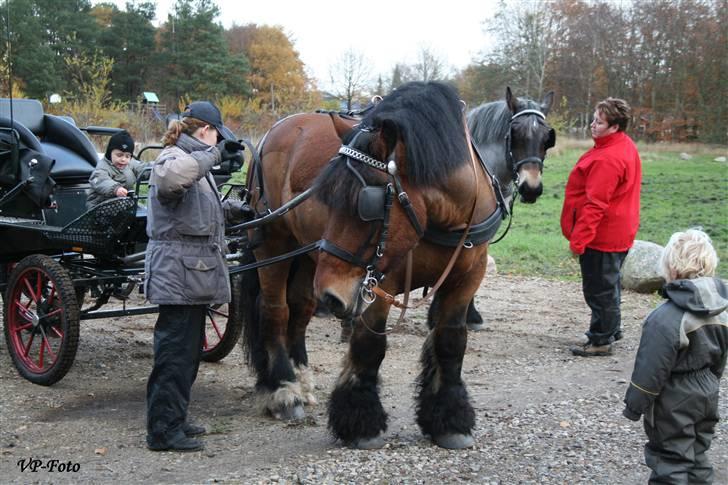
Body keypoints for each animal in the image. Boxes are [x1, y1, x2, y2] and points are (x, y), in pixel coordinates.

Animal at [242, 81, 504, 448]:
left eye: (366, 204)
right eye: (329, 195)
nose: (333, 297)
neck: (443, 217)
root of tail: (276, 129)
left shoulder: (467, 276)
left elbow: (450, 340)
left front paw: (450, 419)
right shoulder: (377, 282)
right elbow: (370, 344)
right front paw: (361, 421)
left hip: (308, 257)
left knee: (300, 307)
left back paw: (301, 378)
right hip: (274, 242)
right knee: (275, 310)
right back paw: (282, 388)